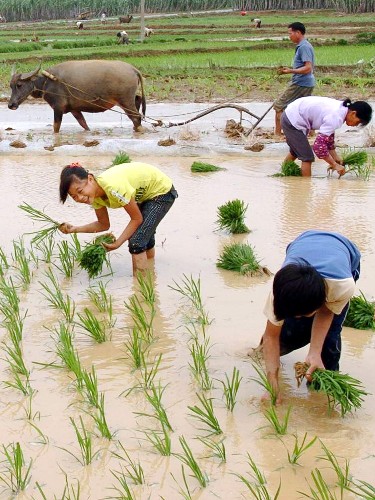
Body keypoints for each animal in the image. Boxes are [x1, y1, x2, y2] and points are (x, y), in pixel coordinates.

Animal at [8, 59, 147, 134]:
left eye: (19, 85)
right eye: (11, 86)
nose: (11, 105)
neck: (47, 82)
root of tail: (133, 69)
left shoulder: (58, 108)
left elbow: (56, 127)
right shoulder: (75, 110)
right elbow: (84, 124)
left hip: (125, 101)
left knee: (136, 117)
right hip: (130, 100)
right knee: (138, 102)